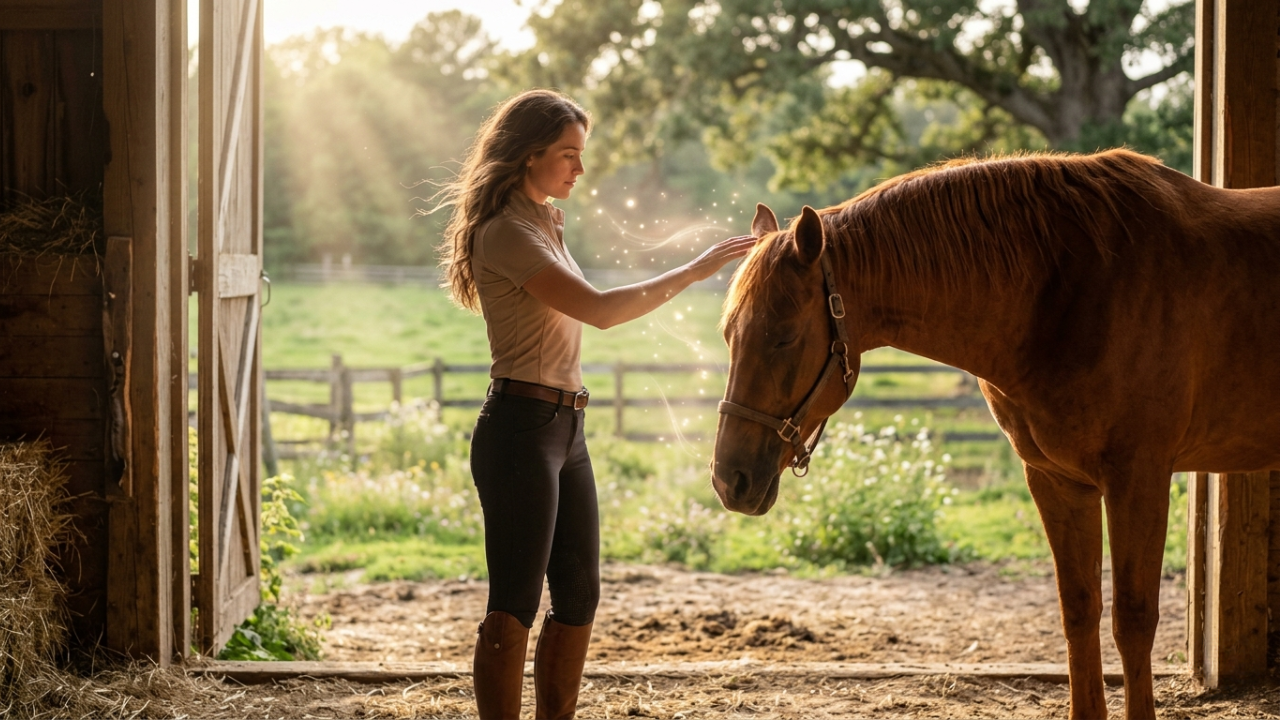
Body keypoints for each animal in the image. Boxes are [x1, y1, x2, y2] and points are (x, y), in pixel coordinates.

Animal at [711, 149, 1280, 719]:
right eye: (728, 334)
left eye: (784, 337)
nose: (729, 480)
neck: (1072, 287)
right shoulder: (1057, 481)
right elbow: (1079, 610)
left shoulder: (1138, 480)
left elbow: (1134, 620)